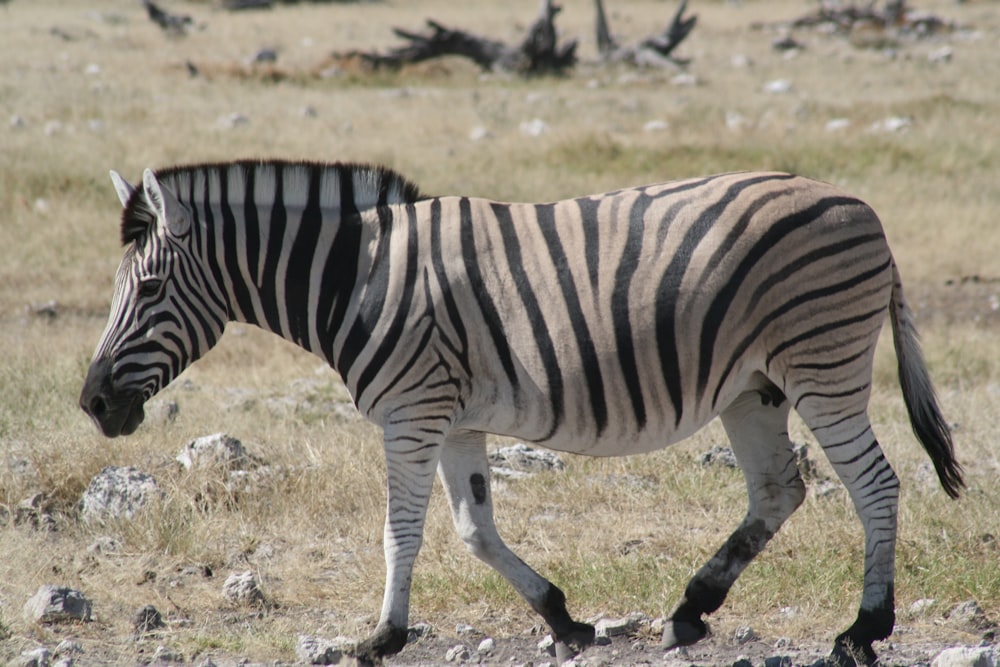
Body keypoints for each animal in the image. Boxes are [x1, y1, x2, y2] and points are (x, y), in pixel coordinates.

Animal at [84, 162, 960, 667]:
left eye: (150, 288)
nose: (92, 403)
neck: (354, 278)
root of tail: (860, 204)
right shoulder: (456, 419)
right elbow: (474, 529)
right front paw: (564, 619)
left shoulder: (411, 411)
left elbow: (401, 531)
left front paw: (380, 636)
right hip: (753, 386)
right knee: (781, 489)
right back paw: (691, 609)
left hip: (821, 365)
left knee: (875, 485)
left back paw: (863, 628)